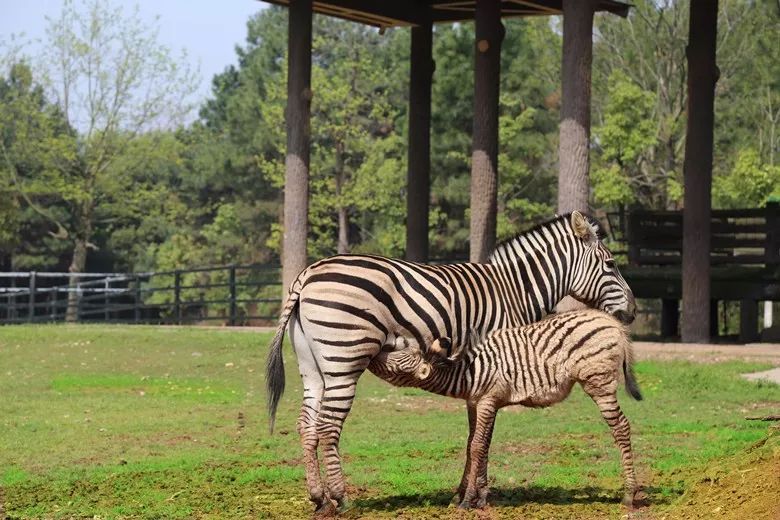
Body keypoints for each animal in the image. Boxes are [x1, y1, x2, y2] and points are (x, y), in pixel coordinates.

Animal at [374, 308, 644, 508]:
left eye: (398, 361)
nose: (375, 352)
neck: (469, 374)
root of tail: (613, 323)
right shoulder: (477, 403)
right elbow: (475, 446)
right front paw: (476, 496)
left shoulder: (487, 401)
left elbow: (477, 446)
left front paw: (468, 500)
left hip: (598, 381)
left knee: (621, 427)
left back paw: (629, 495)